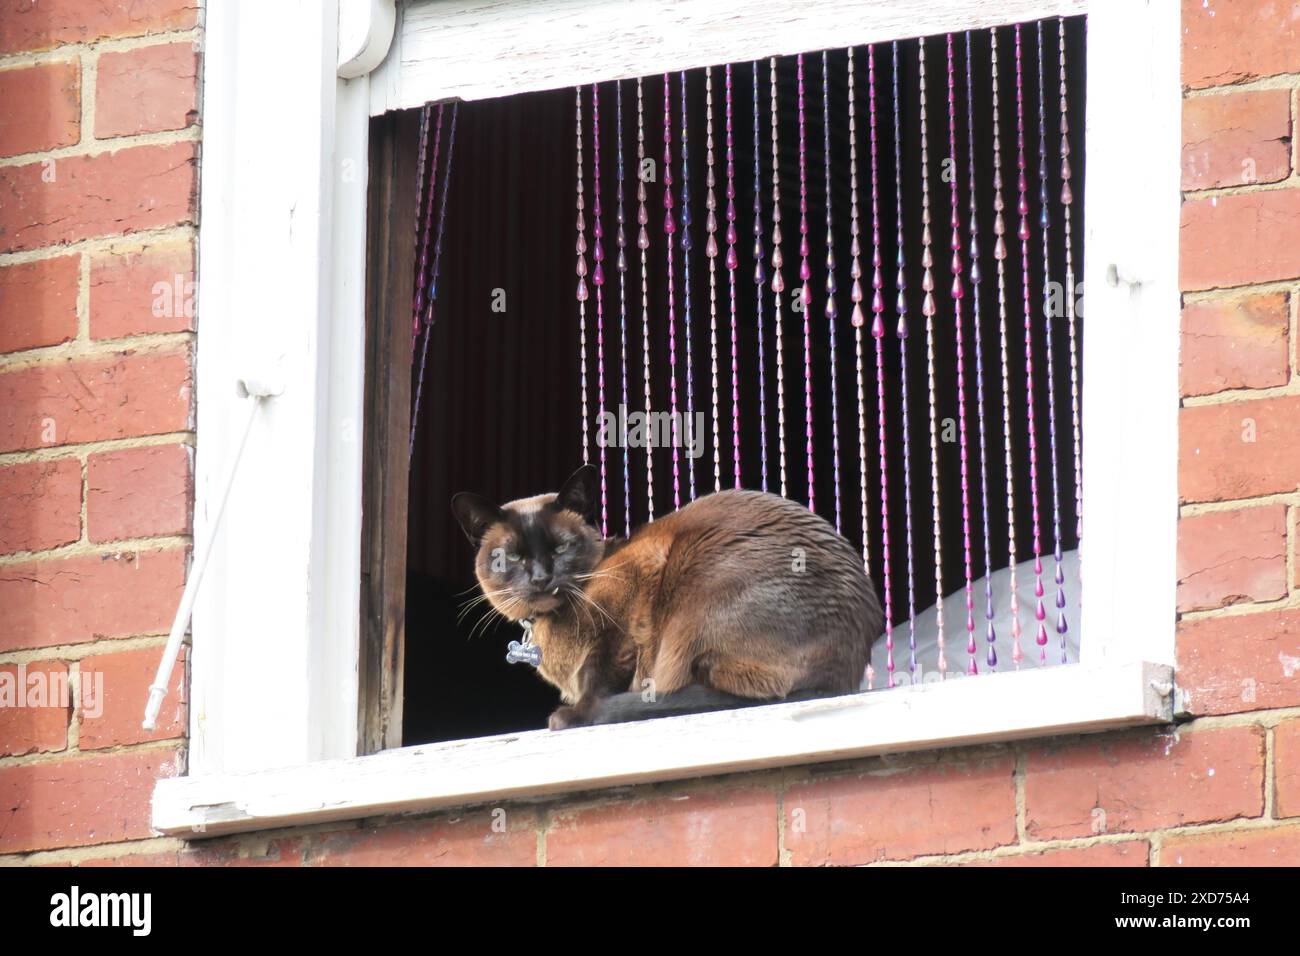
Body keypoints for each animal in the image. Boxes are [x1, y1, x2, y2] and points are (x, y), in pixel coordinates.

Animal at [449, 468, 883, 728]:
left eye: (560, 548)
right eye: (513, 557)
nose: (541, 578)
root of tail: (840, 681)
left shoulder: (623, 620)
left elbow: (597, 677)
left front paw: (572, 715)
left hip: (692, 593)